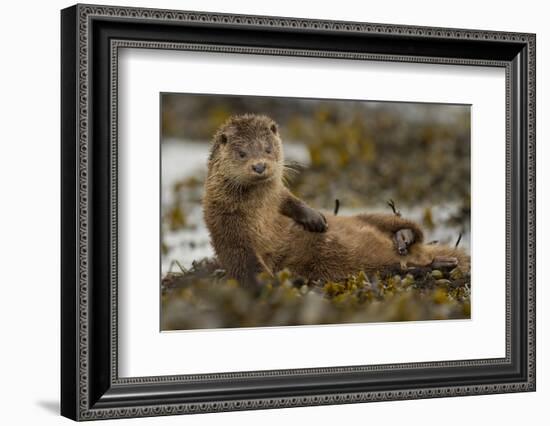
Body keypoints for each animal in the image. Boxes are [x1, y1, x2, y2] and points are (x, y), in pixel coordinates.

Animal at [203, 114, 470, 286]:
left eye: (268, 149)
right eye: (242, 153)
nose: (259, 165)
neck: (260, 212)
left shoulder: (277, 196)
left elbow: (290, 200)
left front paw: (315, 220)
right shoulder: (227, 228)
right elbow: (246, 265)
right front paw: (275, 284)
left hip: (373, 216)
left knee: (409, 229)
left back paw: (403, 238)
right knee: (398, 268)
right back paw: (437, 265)